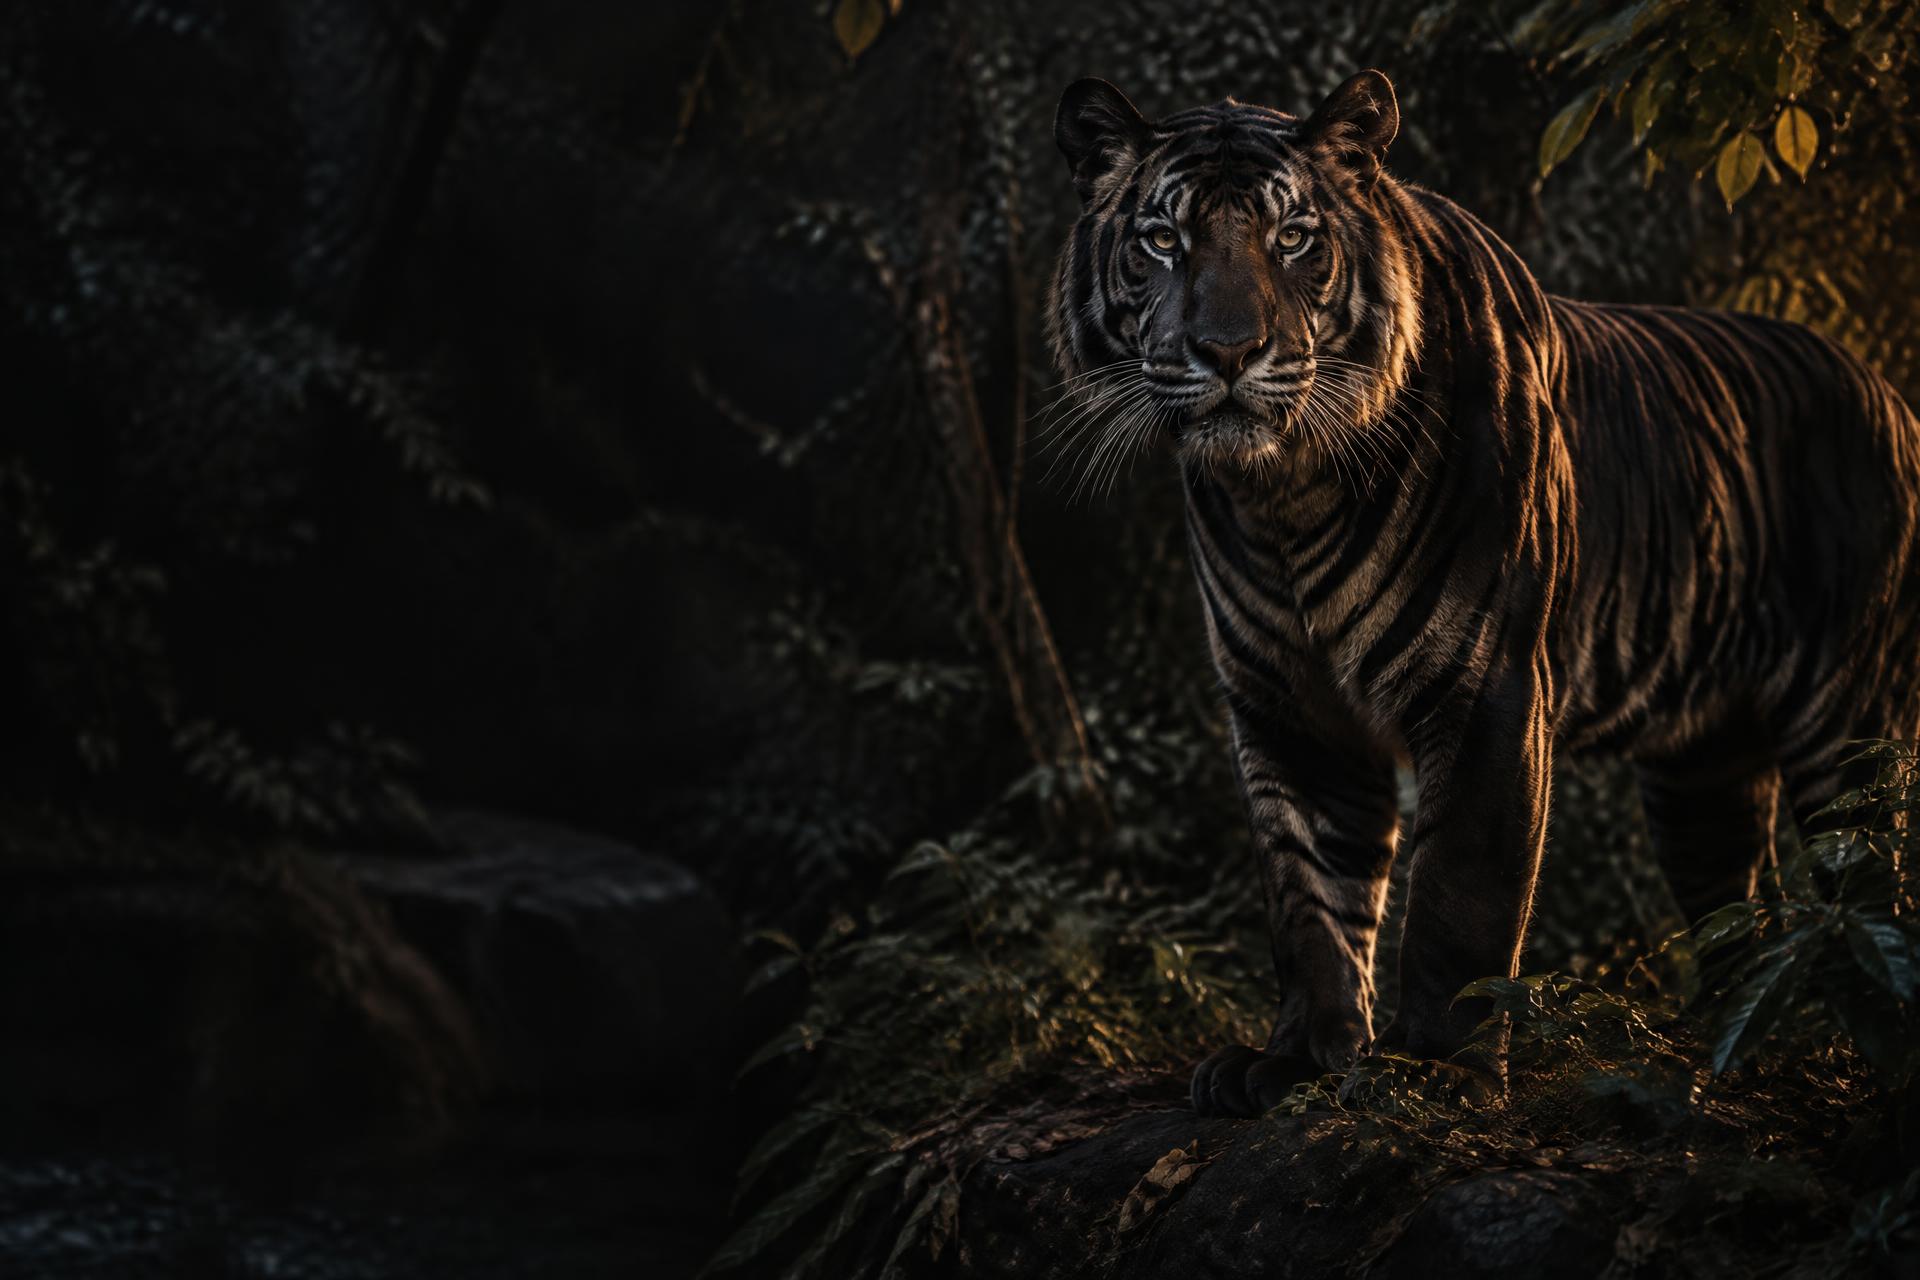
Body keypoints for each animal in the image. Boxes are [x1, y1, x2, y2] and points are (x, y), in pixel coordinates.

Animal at [1045, 69, 1920, 1116]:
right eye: (1162, 240)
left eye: (1291, 237)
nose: (1225, 351)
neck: (1286, 493)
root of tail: (1887, 387)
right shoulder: (1289, 711)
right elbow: (1308, 897)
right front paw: (1299, 1059)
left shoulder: (1484, 686)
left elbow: (1459, 894)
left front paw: (1434, 1074)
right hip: (1700, 777)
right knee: (1742, 914)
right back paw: (1724, 1057)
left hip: (1849, 729)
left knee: (1870, 891)